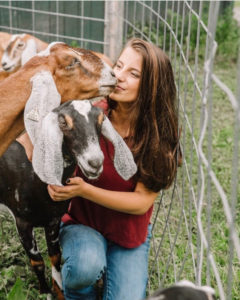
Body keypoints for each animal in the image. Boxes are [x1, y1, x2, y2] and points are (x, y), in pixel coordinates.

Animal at [0, 99, 137, 298]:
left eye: (101, 119)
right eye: (63, 122)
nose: (95, 163)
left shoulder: (53, 219)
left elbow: (55, 256)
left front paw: (59, 290)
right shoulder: (22, 222)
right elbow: (37, 262)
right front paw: (45, 292)